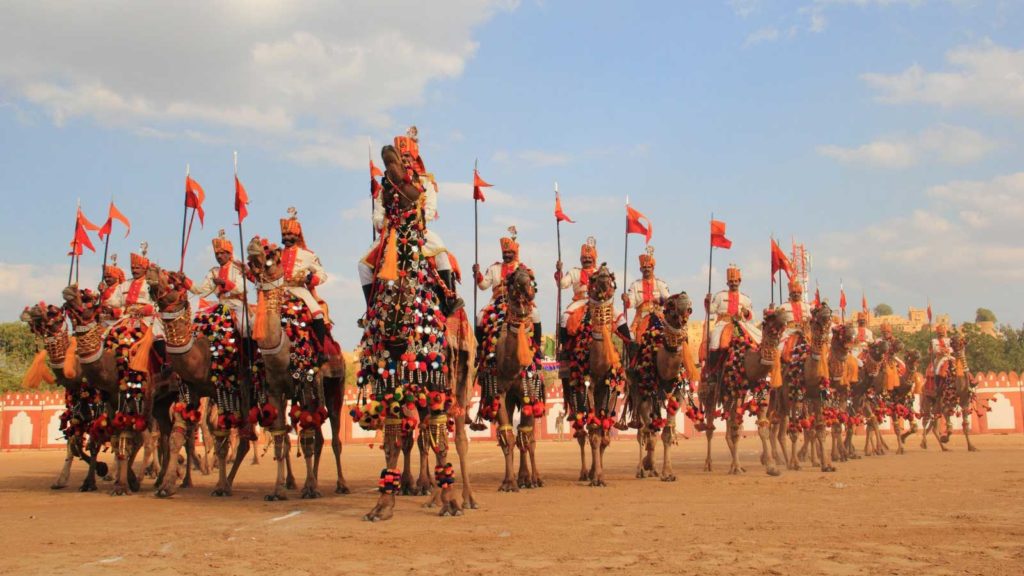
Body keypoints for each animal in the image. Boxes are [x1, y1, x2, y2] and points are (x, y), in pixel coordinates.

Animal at [20, 301, 109, 487]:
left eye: (55, 314)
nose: (28, 314)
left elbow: (92, 445)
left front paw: (93, 479)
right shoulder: (77, 414)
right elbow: (74, 445)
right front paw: (62, 480)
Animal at [622, 291, 696, 479]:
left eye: (690, 307)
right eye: (669, 304)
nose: (685, 299)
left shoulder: (677, 392)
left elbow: (667, 433)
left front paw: (668, 473)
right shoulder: (645, 393)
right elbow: (649, 432)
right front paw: (647, 464)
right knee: (642, 430)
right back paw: (642, 469)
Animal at [700, 309, 786, 475]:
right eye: (769, 318)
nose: (783, 316)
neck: (745, 362)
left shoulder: (762, 391)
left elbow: (762, 427)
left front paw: (771, 466)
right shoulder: (736, 391)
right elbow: (736, 429)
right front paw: (737, 467)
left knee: (728, 426)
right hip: (709, 393)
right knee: (710, 427)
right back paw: (708, 464)